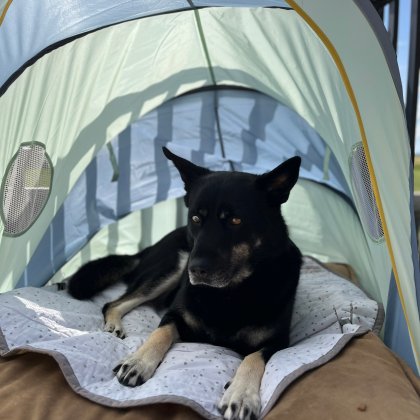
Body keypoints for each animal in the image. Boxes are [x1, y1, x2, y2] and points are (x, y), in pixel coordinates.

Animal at [68, 147, 302, 420]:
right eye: (196, 218)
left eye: (235, 221)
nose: (196, 270)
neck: (229, 292)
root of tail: (150, 247)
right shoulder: (175, 315)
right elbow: (160, 332)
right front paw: (138, 361)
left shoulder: (278, 342)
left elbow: (253, 358)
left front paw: (241, 394)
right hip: (171, 267)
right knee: (114, 303)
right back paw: (114, 325)